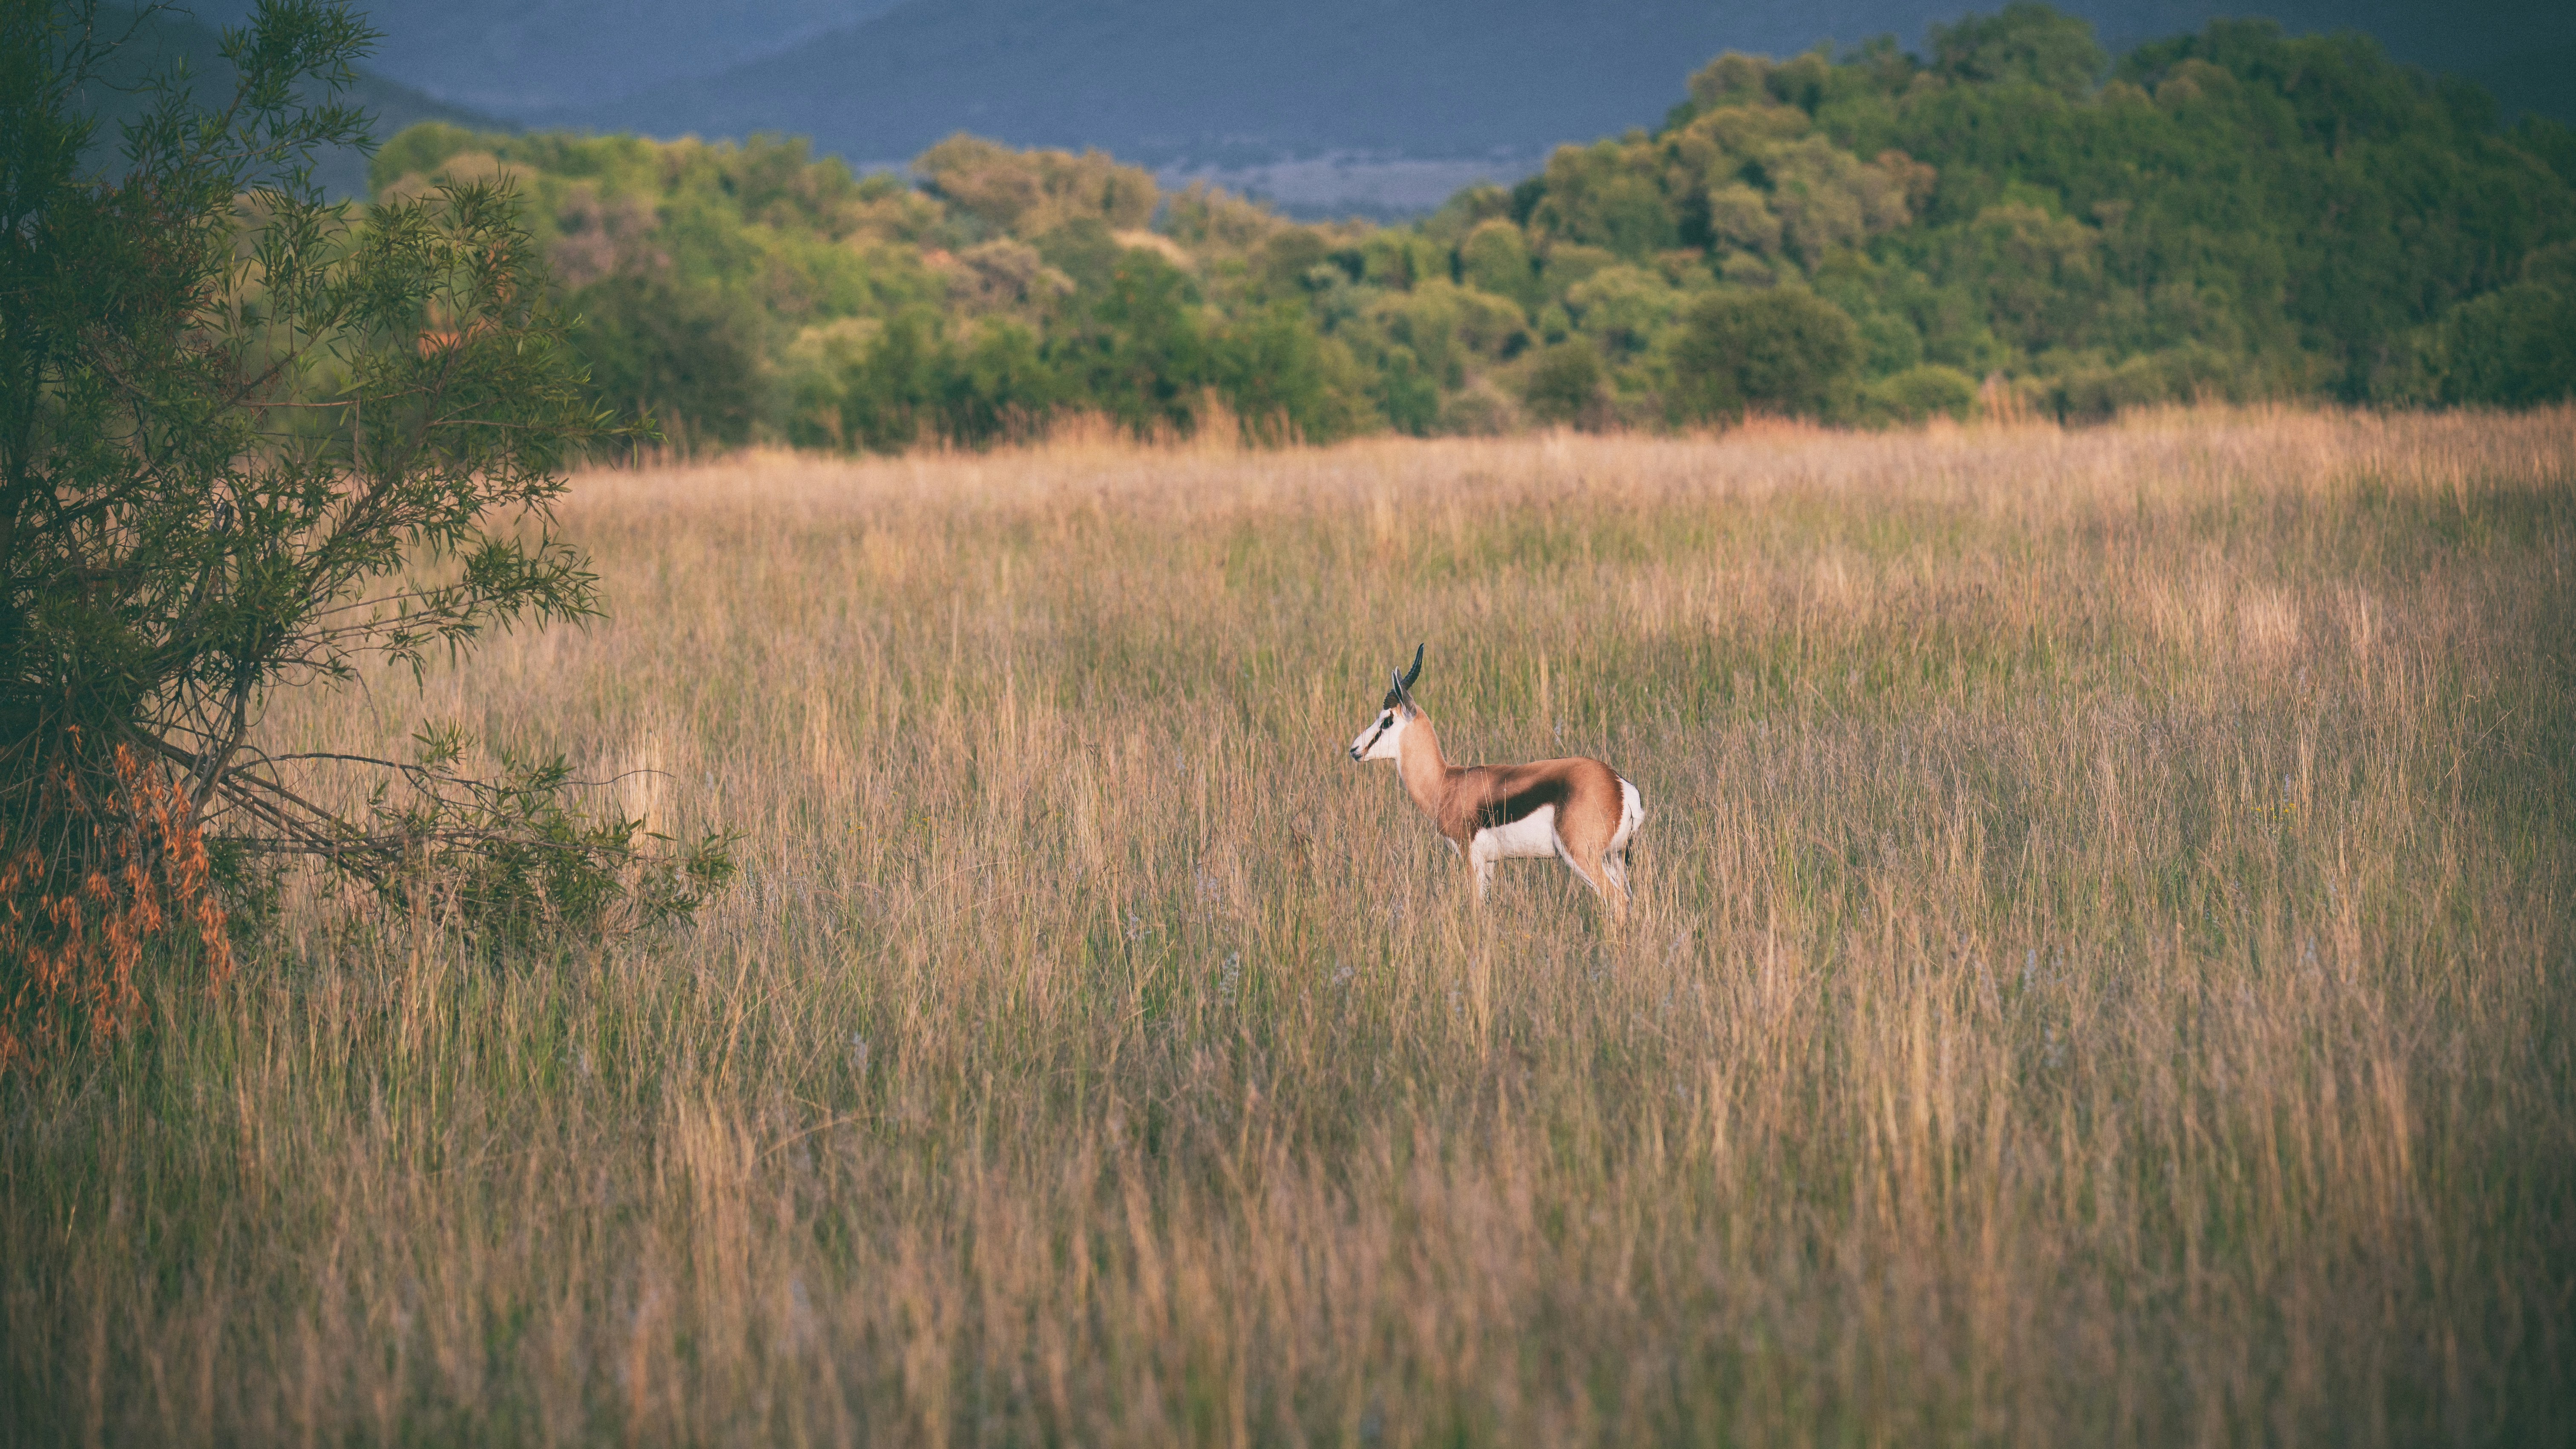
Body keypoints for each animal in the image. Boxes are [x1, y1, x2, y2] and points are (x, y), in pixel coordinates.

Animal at [1348, 645, 1644, 918]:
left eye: (1387, 720)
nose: (1355, 749)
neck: (1446, 783)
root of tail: (1619, 786)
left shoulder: (1472, 858)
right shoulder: (1489, 864)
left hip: (1583, 857)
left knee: (1618, 902)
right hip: (1614, 858)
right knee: (1629, 901)